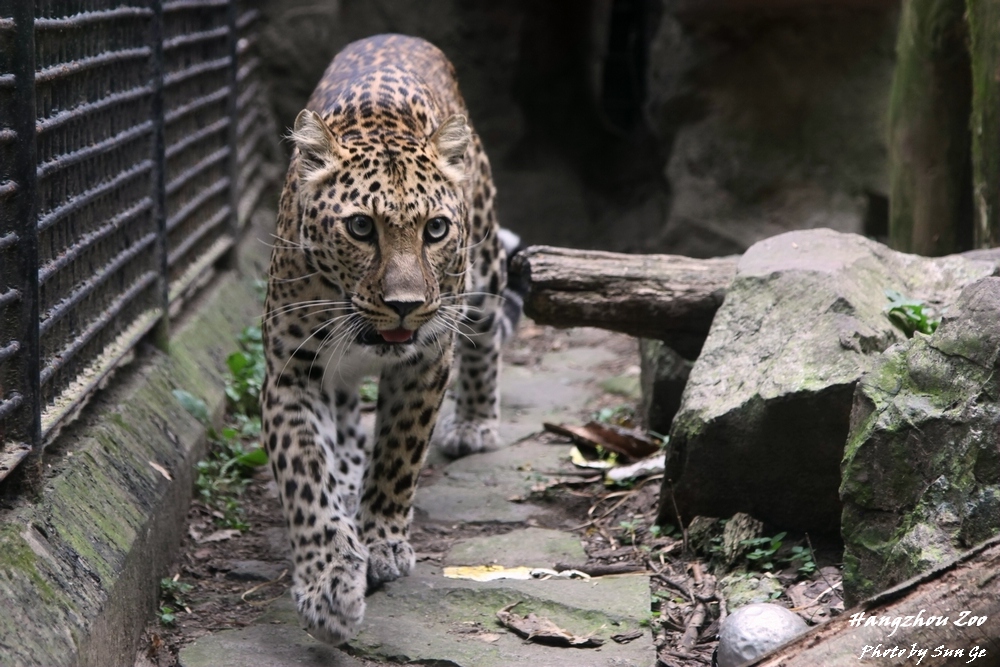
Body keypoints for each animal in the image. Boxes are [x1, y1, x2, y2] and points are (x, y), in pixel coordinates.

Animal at [260, 34, 515, 646]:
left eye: (436, 229)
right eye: (360, 227)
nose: (404, 305)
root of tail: (396, 35)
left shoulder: (427, 359)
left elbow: (400, 452)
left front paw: (380, 543)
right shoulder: (288, 373)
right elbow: (305, 476)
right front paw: (329, 584)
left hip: (488, 269)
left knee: (487, 338)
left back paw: (475, 423)